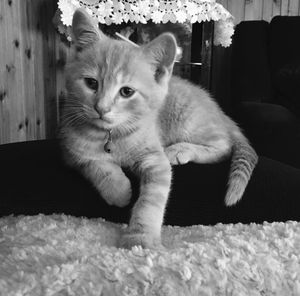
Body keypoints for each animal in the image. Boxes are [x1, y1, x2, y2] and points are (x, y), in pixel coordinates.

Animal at [59, 8, 258, 250]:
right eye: (91, 83)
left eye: (126, 92)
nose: (101, 108)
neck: (112, 136)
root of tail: (219, 111)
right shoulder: (70, 149)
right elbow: (94, 163)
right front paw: (118, 190)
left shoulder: (155, 159)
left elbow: (151, 200)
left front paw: (140, 238)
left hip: (188, 118)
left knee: (224, 146)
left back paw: (180, 150)